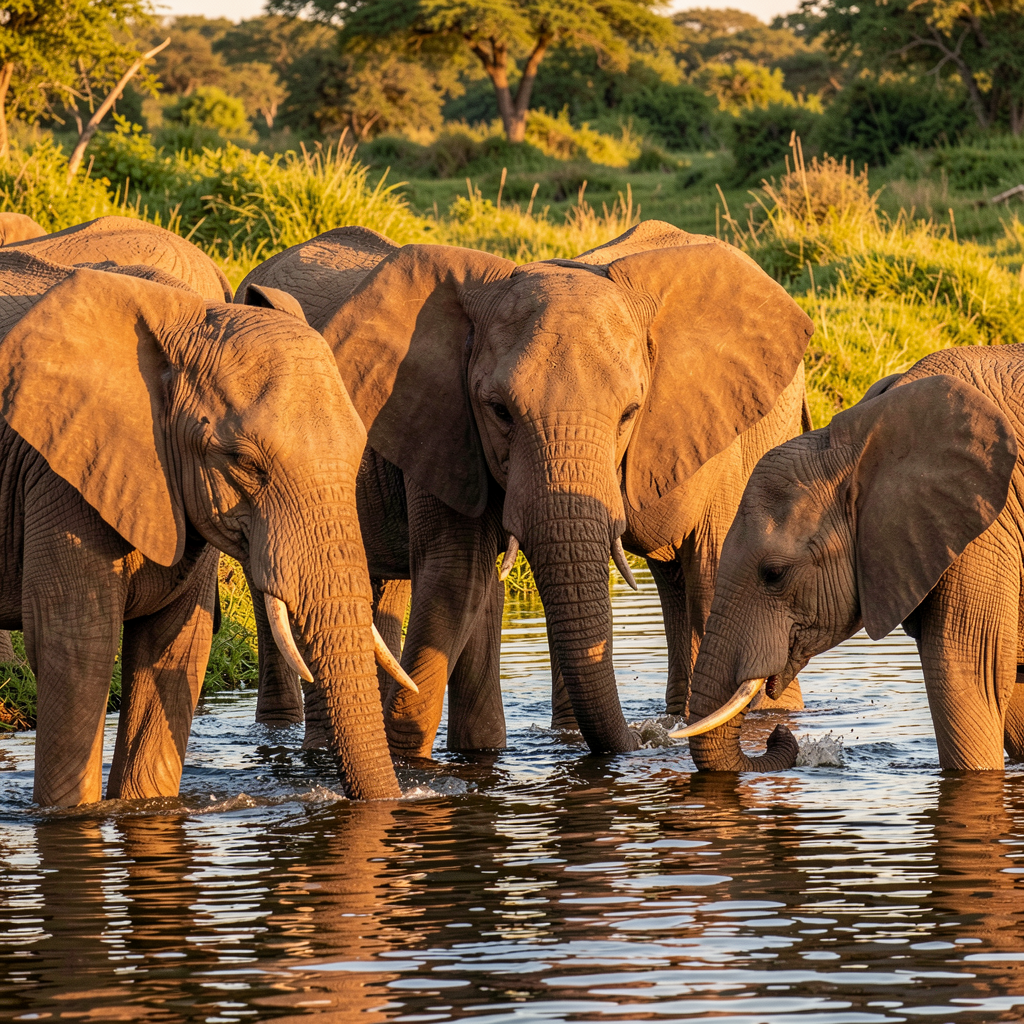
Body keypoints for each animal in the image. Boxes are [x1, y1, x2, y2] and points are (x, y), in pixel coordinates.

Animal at [0, 250, 414, 805]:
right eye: (243, 462)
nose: (393, 804)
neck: (184, 322)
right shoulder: (58, 473)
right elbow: (76, 647)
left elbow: (176, 644)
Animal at [237, 221, 813, 760]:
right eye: (499, 411)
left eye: (630, 413)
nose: (647, 740)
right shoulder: (442, 421)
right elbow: (455, 577)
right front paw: (413, 765)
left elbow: (717, 570)